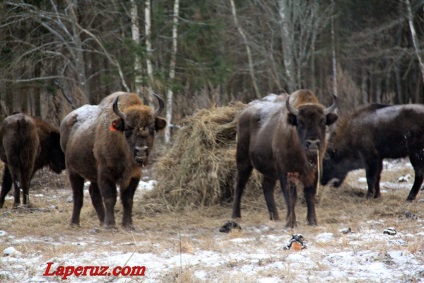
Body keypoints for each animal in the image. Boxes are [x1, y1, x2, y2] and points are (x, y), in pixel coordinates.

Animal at [60, 92, 166, 230]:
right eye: (127, 128)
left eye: (152, 128)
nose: (141, 151)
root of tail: (66, 120)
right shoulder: (106, 173)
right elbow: (110, 197)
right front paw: (110, 225)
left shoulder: (134, 175)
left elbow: (128, 199)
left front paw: (128, 224)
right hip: (73, 171)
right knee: (78, 196)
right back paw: (74, 223)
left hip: (93, 175)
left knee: (94, 194)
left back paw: (101, 221)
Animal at [232, 90, 338, 227]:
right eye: (300, 122)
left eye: (322, 121)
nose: (313, 143)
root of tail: (244, 111)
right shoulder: (285, 171)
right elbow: (291, 196)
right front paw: (291, 222)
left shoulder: (314, 172)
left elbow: (309, 195)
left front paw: (312, 221)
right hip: (243, 160)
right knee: (239, 184)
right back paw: (236, 216)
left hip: (269, 171)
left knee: (267, 187)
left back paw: (275, 217)